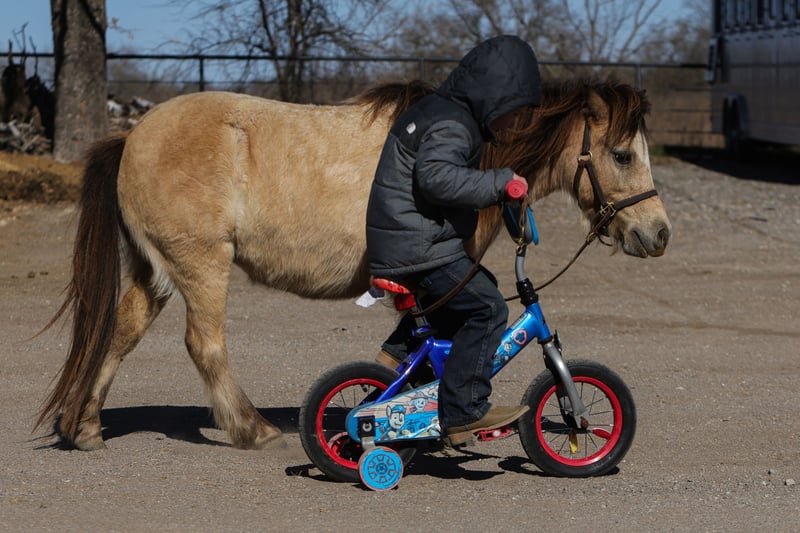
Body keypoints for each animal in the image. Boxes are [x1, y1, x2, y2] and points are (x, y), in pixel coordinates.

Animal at [36, 76, 671, 451]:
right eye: (621, 154)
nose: (658, 233)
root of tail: (132, 136)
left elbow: (404, 352)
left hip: (157, 271)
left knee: (121, 331)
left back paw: (85, 426)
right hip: (200, 265)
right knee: (205, 344)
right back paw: (252, 429)